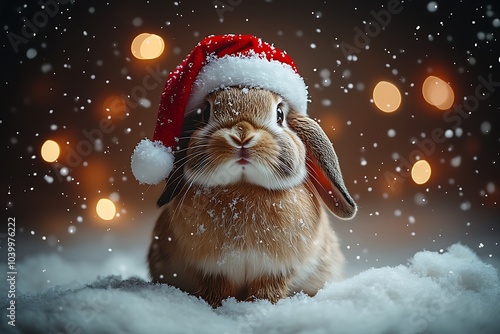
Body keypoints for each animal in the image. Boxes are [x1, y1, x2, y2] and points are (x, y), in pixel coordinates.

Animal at [146, 87, 358, 308]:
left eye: (280, 114)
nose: (242, 135)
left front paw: (260, 306)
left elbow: (268, 290)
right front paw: (217, 305)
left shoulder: (276, 271)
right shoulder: (213, 271)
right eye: (205, 112)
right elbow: (217, 289)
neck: (243, 187)